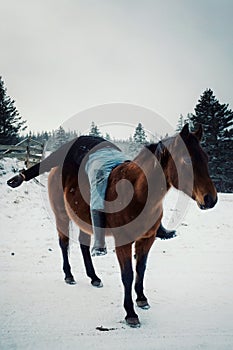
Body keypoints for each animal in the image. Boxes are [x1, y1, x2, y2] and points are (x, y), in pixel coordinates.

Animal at [7, 123, 218, 328]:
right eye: (186, 161)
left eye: (206, 158)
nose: (210, 199)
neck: (137, 193)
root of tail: (56, 169)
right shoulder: (123, 242)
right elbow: (127, 275)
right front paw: (130, 314)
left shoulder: (147, 239)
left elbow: (141, 269)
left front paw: (141, 299)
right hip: (62, 216)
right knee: (64, 243)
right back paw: (69, 275)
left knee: (84, 245)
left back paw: (94, 277)